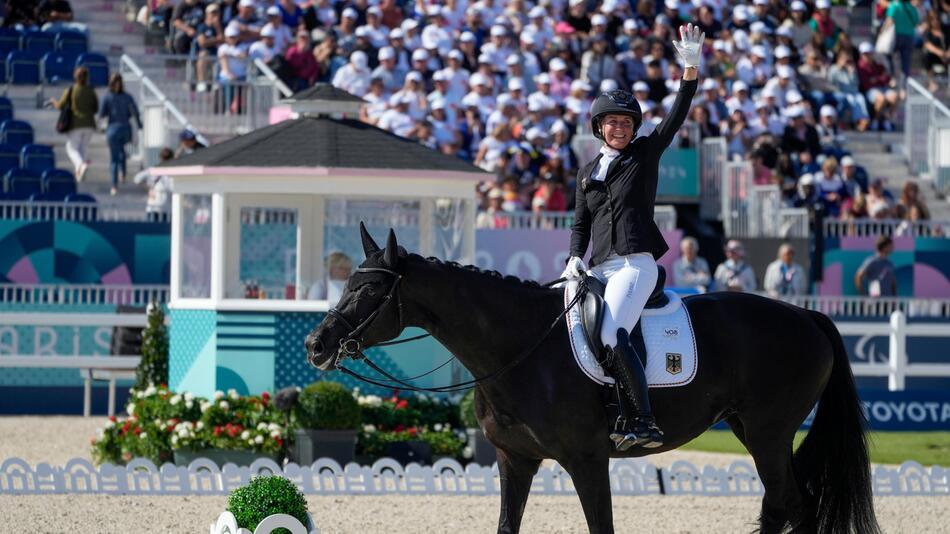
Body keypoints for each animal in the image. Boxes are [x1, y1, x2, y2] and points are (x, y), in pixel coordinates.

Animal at [308, 228, 880, 534]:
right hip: (752, 430)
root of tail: (806, 316)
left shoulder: (587, 460)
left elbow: (600, 526)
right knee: (785, 504)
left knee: (790, 503)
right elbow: (507, 525)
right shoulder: (514, 460)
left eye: (368, 293)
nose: (316, 345)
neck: (520, 349)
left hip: (767, 433)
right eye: (345, 283)